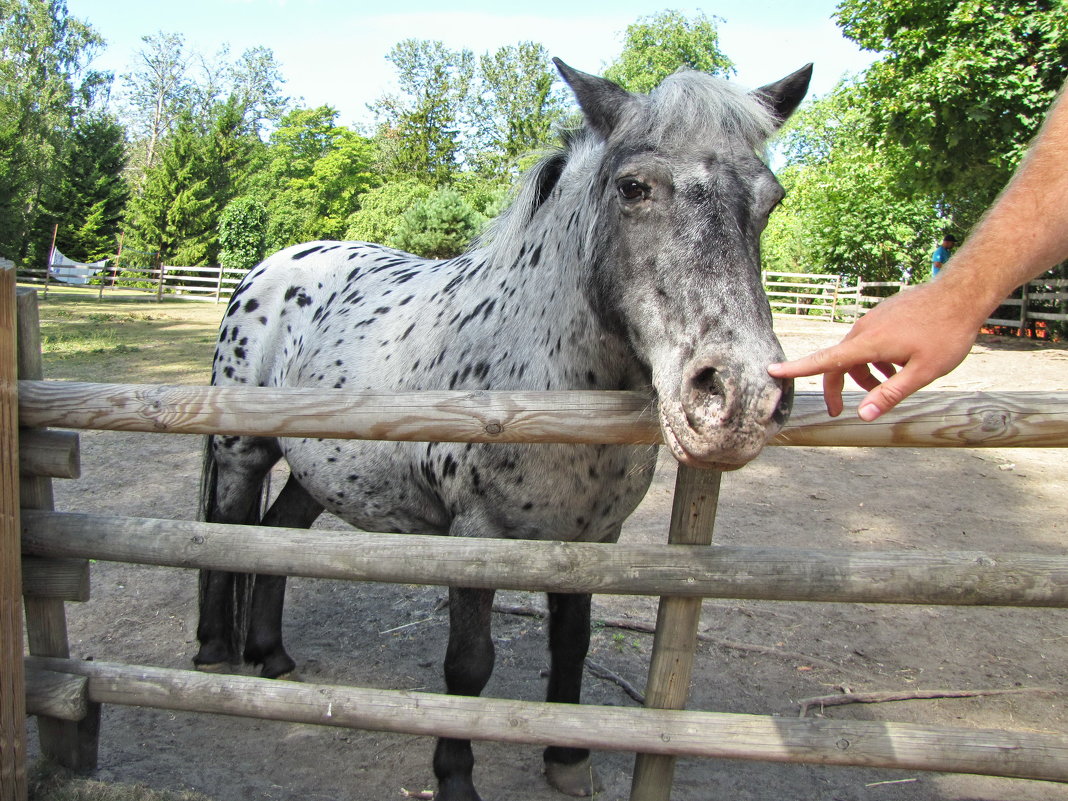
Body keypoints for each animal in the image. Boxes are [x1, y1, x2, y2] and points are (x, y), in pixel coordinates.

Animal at [194, 59, 807, 798]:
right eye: (633, 187)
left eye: (770, 198)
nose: (740, 394)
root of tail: (268, 268)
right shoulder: (474, 536)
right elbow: (468, 664)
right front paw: (456, 777)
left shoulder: (592, 540)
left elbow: (572, 642)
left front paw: (567, 757)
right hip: (243, 453)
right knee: (228, 534)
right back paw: (215, 651)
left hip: (321, 469)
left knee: (278, 537)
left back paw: (273, 655)